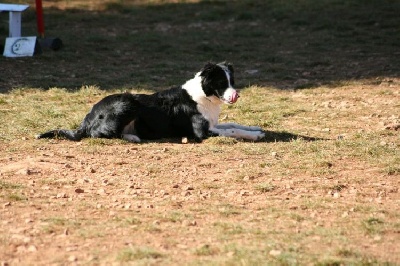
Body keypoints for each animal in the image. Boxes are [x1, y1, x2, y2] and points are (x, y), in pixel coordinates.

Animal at [36, 62, 264, 142]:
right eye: (221, 83)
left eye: (232, 81)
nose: (236, 95)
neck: (203, 94)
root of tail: (87, 119)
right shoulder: (202, 132)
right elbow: (232, 130)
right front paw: (254, 136)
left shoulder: (214, 124)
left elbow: (234, 124)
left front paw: (256, 130)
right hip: (128, 101)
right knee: (102, 134)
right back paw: (132, 137)